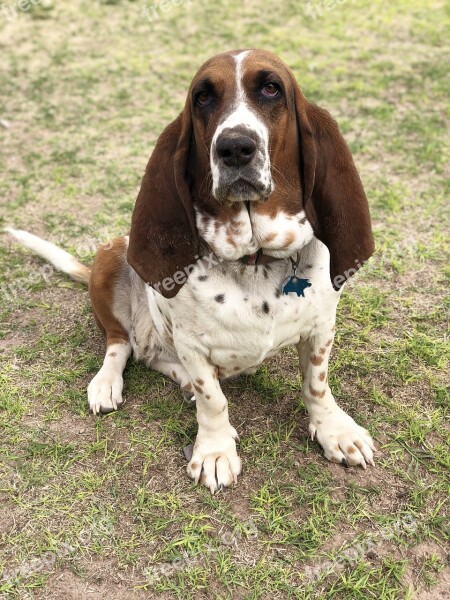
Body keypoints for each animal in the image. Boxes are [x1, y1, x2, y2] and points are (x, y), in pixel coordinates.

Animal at [7, 50, 376, 492]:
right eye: (203, 96)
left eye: (271, 88)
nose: (235, 147)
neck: (253, 259)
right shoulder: (193, 346)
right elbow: (213, 400)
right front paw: (215, 451)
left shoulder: (321, 329)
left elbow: (317, 385)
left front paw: (335, 430)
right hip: (111, 254)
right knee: (122, 343)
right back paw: (107, 382)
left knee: (149, 354)